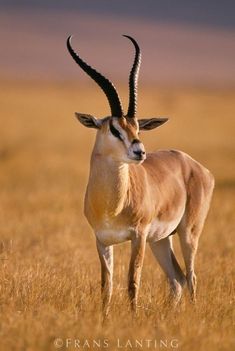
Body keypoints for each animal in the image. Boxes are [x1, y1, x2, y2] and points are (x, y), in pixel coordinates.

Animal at [66, 34, 215, 314]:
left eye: (137, 127)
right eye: (114, 128)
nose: (139, 151)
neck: (112, 205)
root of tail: (192, 163)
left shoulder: (139, 237)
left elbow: (132, 282)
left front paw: (133, 319)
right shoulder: (102, 241)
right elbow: (106, 287)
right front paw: (104, 319)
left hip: (188, 233)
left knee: (191, 277)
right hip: (161, 240)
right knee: (177, 279)